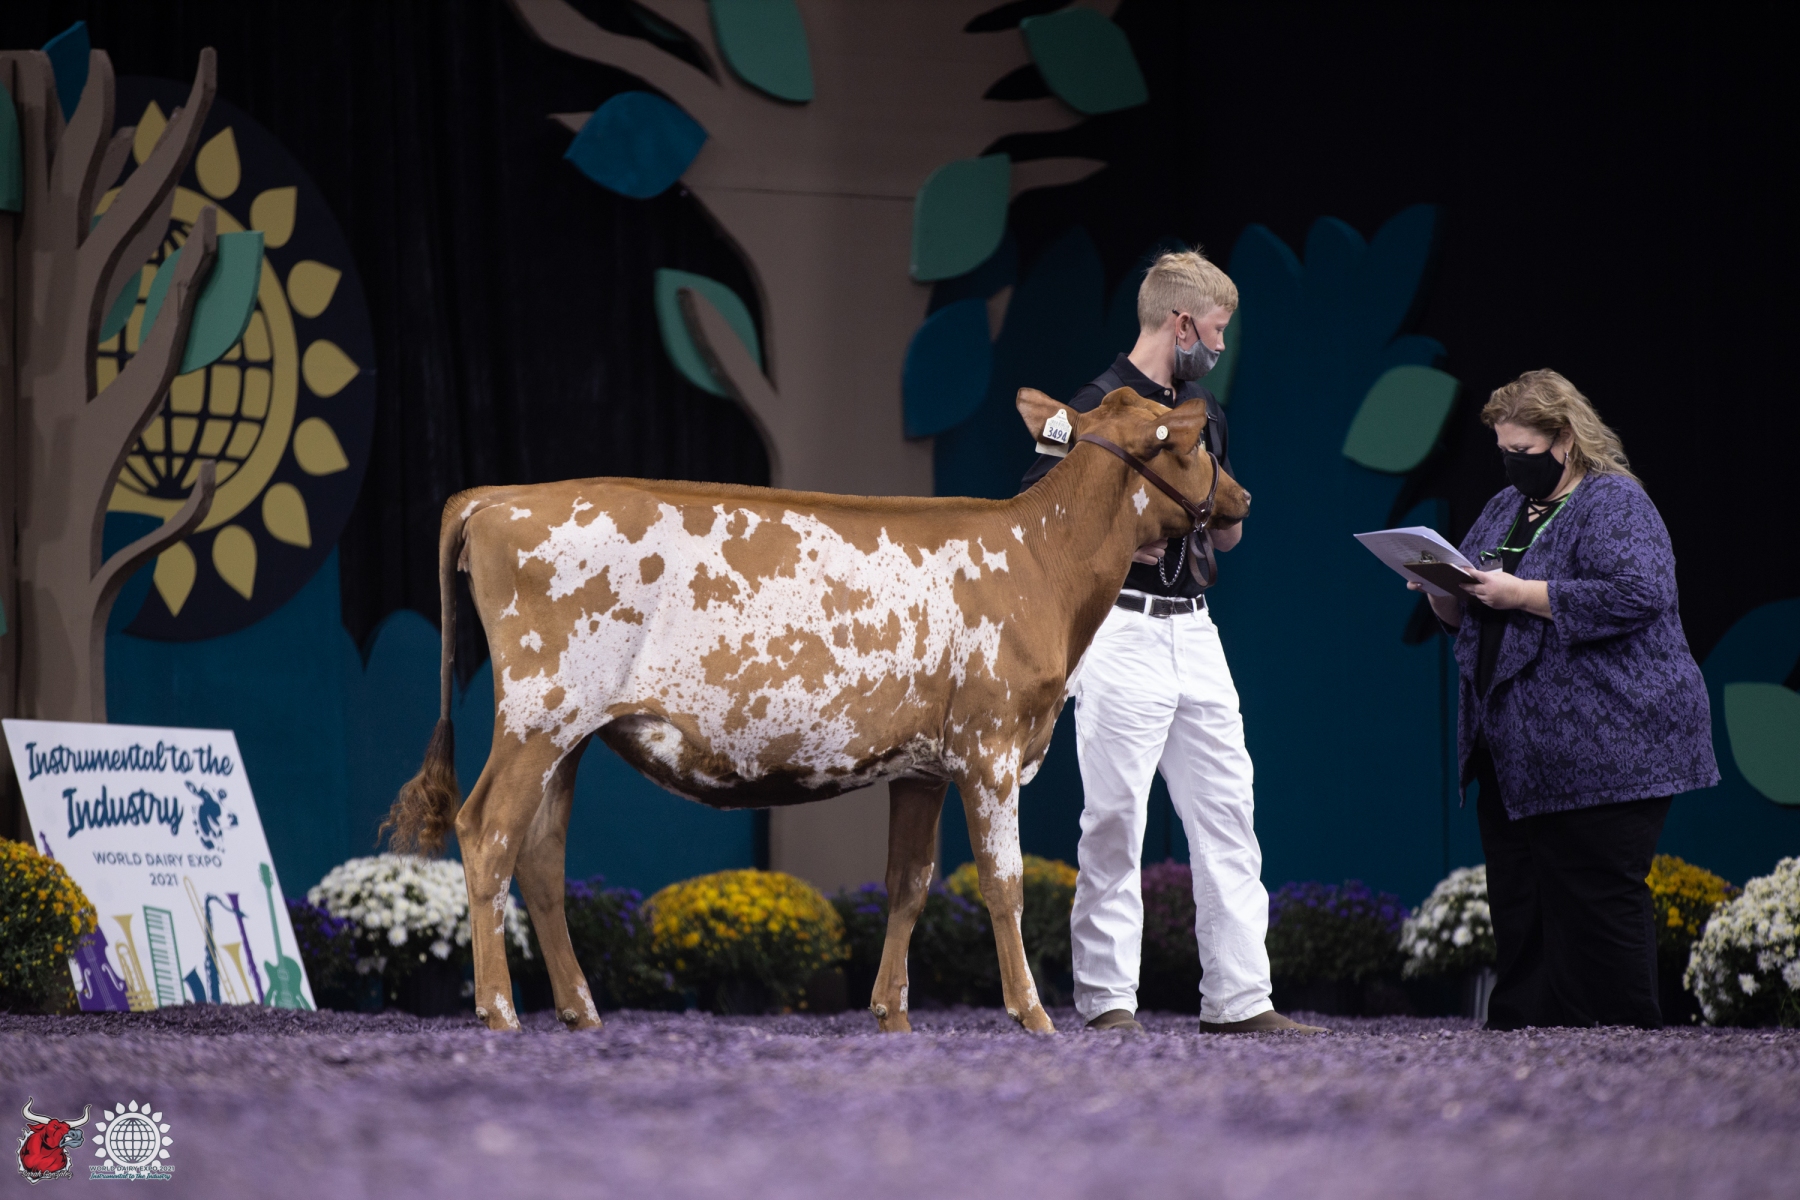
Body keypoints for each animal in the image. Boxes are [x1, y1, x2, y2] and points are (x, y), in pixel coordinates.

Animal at [384, 387, 1250, 1034]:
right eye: (1189, 441)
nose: (1242, 496)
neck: (1040, 560)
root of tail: (503, 496)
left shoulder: (923, 765)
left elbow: (909, 881)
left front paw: (892, 1014)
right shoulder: (991, 744)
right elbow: (1003, 883)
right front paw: (1032, 1013)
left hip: (569, 736)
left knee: (540, 857)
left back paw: (579, 1010)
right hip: (538, 715)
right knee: (485, 833)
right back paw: (500, 1012)